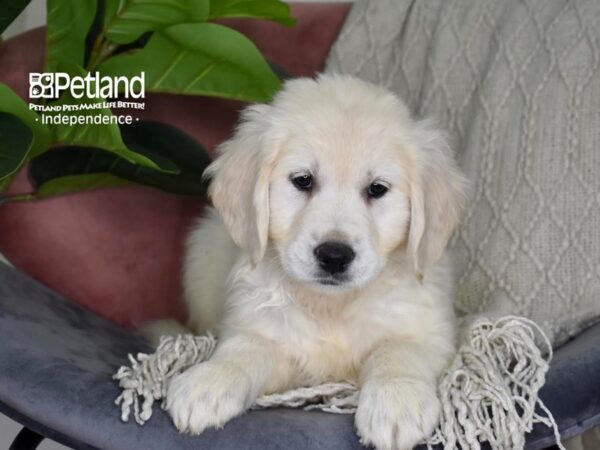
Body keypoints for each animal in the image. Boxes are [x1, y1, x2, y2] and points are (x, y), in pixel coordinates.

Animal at [165, 74, 468, 450]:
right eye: (303, 180)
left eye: (377, 189)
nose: (334, 256)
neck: (331, 306)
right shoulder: (261, 329)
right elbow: (242, 352)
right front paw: (208, 382)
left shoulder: (429, 331)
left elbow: (398, 351)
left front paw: (397, 403)